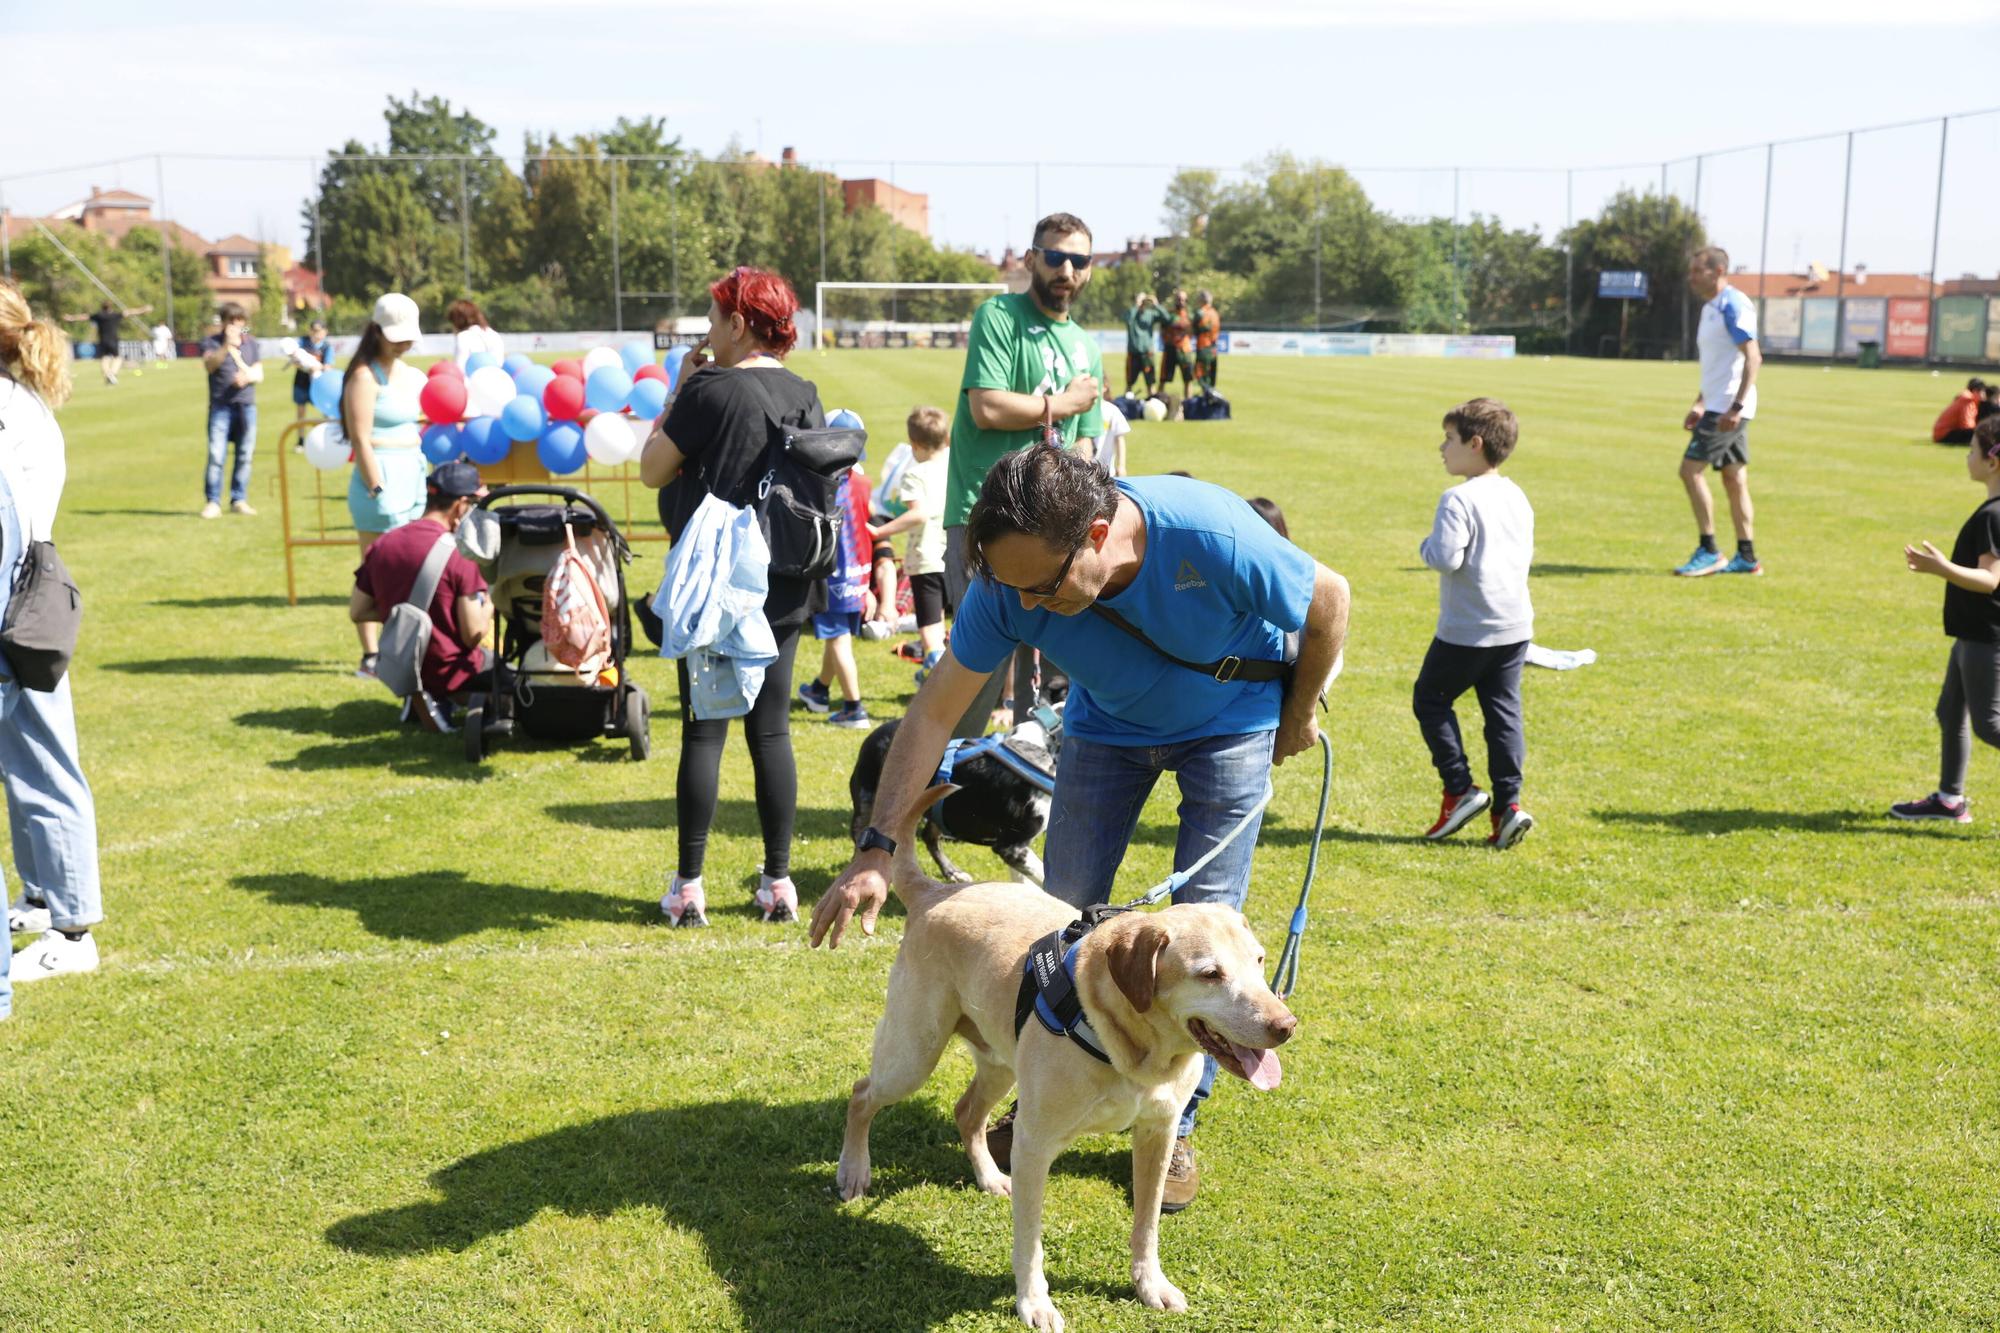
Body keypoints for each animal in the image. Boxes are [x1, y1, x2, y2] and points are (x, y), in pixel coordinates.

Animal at [840, 784, 1296, 1320]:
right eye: (1210, 974)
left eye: (1259, 960)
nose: (1286, 1026)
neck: (1138, 1052)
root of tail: (933, 891)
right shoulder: (1034, 1144)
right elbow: (1030, 1242)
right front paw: (1033, 1301)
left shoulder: (1158, 1133)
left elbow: (1147, 1224)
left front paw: (1150, 1284)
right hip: (914, 1051)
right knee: (862, 1093)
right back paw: (853, 1171)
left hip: (999, 1060)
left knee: (966, 1111)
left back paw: (989, 1176)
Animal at [848, 716, 1056, 880]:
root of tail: (878, 731)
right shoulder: (1013, 846)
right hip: (867, 803)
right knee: (860, 840)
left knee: (929, 838)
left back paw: (952, 872)